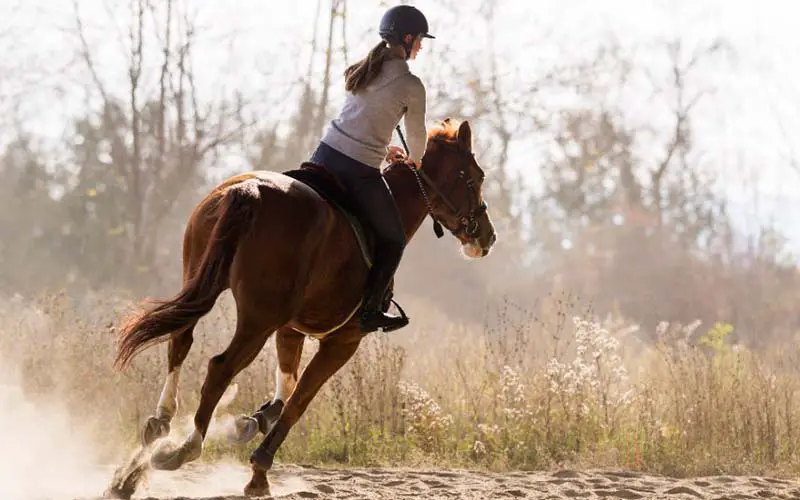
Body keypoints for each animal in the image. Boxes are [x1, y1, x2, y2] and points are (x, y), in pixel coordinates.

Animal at [106, 118, 494, 496]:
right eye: (475, 177)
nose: (487, 236)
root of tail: (251, 192)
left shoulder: (290, 329)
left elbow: (287, 388)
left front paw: (251, 422)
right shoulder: (342, 342)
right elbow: (299, 400)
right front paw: (259, 472)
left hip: (202, 285)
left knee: (179, 343)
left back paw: (142, 456)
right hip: (258, 320)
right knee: (220, 367)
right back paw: (183, 449)